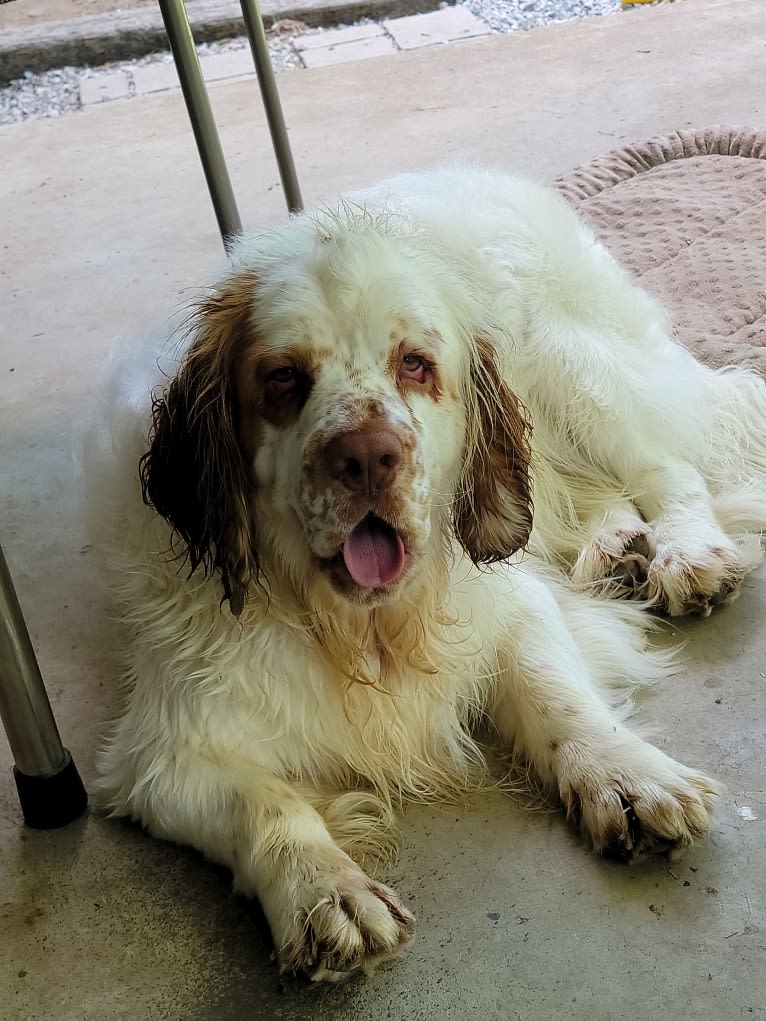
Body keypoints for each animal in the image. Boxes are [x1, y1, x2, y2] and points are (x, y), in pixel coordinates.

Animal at [86, 165, 766, 980]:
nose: (366, 454)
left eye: (414, 363)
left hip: (574, 372)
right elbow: (268, 804)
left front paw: (628, 775)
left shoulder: (511, 610)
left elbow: (557, 696)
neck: (365, 631)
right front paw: (326, 891)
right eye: (282, 380)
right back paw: (618, 545)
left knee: (665, 466)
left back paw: (686, 554)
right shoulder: (165, 754)